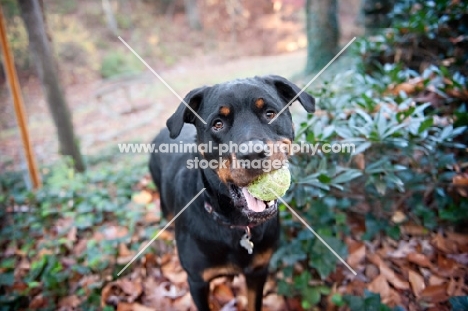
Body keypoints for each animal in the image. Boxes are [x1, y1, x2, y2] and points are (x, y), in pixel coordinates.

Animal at [150, 76, 314, 311]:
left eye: (270, 113)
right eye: (218, 124)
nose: (253, 153)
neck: (235, 222)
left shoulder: (258, 271)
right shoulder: (197, 282)